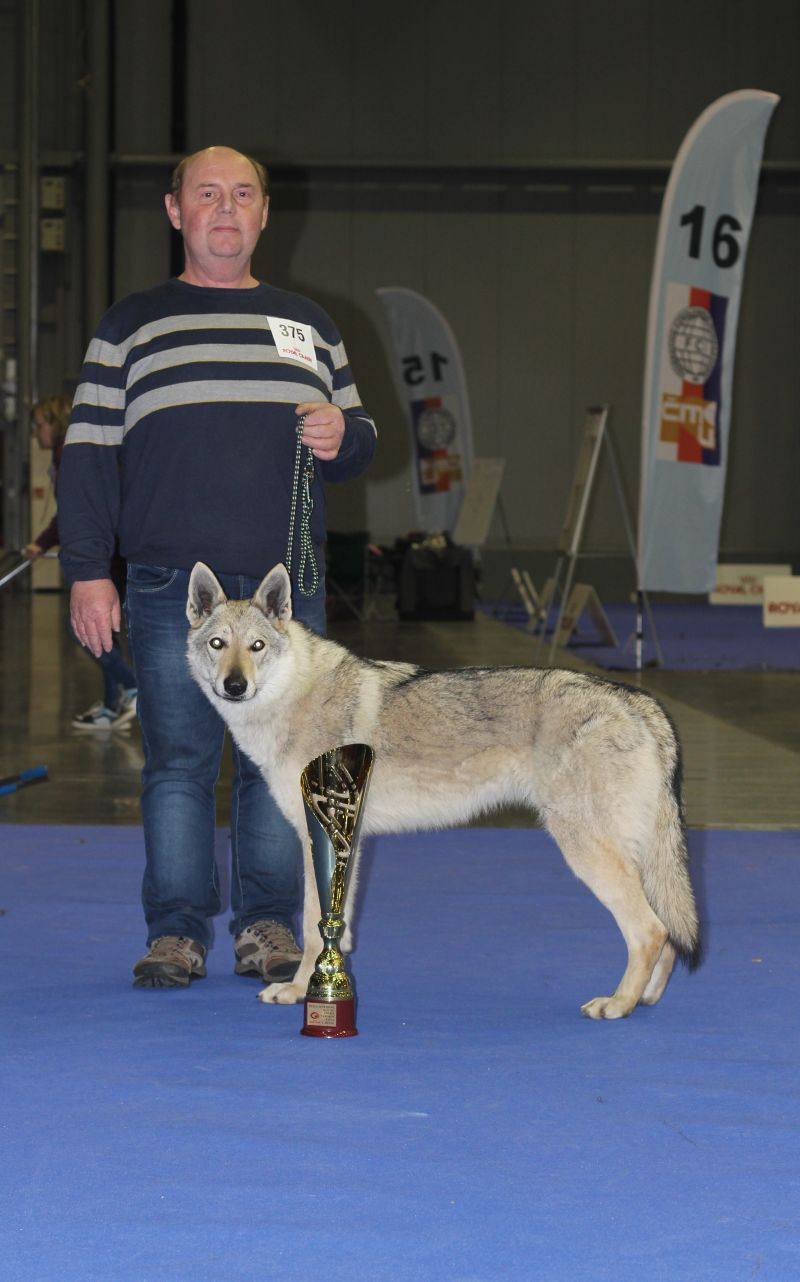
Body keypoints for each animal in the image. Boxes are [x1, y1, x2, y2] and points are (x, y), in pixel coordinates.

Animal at [185, 564, 697, 1020]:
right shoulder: (343, 840)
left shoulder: (323, 836)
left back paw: (618, 1005)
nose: (234, 685)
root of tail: (636, 699)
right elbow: (336, 929)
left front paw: (299, 992)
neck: (293, 696)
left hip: (586, 851)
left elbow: (316, 927)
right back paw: (646, 999)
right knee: (669, 933)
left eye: (257, 646)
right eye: (217, 644)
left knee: (650, 931)